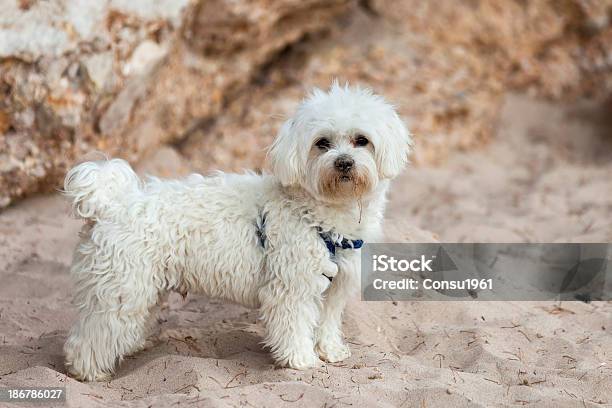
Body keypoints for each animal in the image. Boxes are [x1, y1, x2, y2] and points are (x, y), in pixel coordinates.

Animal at [62, 82, 412, 380]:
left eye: (361, 140)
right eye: (321, 143)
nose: (344, 163)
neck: (319, 213)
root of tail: (111, 202)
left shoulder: (335, 286)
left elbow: (326, 323)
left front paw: (329, 351)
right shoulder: (291, 286)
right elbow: (295, 325)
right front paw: (300, 360)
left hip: (142, 288)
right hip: (121, 288)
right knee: (91, 336)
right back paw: (90, 372)